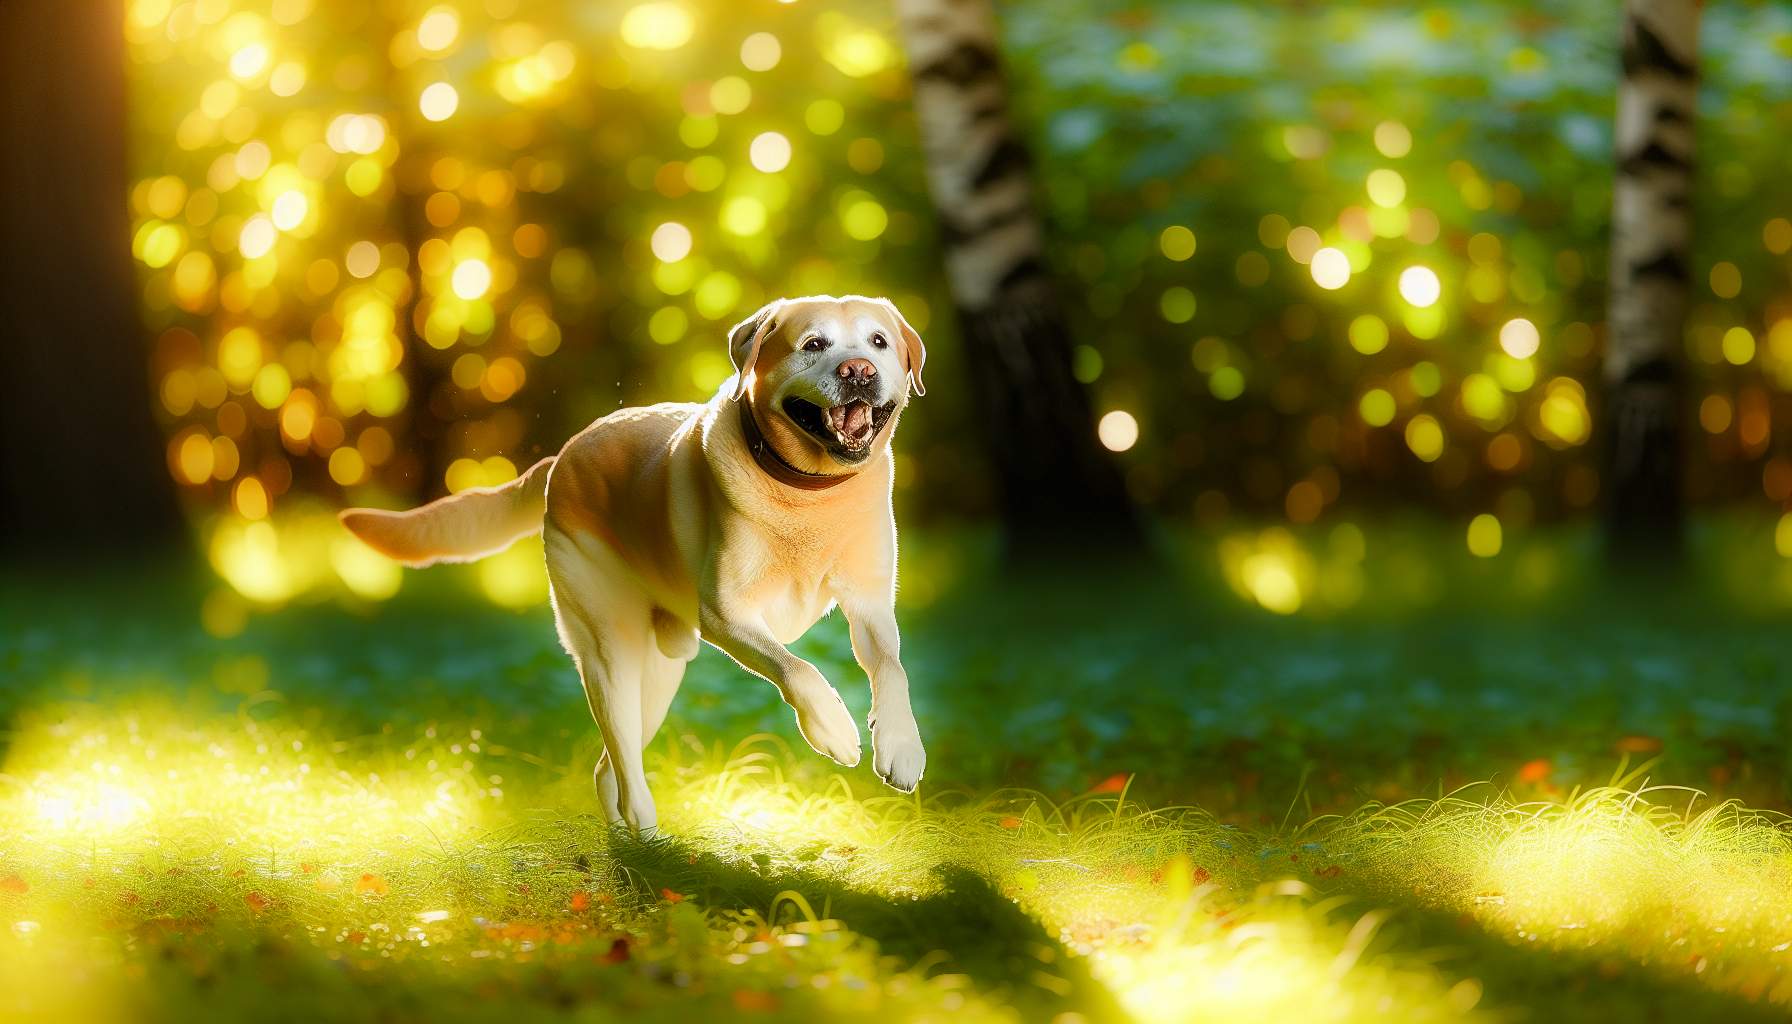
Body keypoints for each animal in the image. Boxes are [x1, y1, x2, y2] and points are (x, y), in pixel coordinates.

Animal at [336, 294, 931, 832]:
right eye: (813, 345)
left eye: (879, 343)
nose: (859, 371)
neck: (809, 493)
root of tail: (561, 456)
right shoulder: (724, 614)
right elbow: (797, 668)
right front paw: (834, 728)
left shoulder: (872, 607)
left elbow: (895, 669)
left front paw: (900, 746)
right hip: (611, 654)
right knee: (622, 759)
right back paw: (646, 835)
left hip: (662, 673)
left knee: (609, 770)